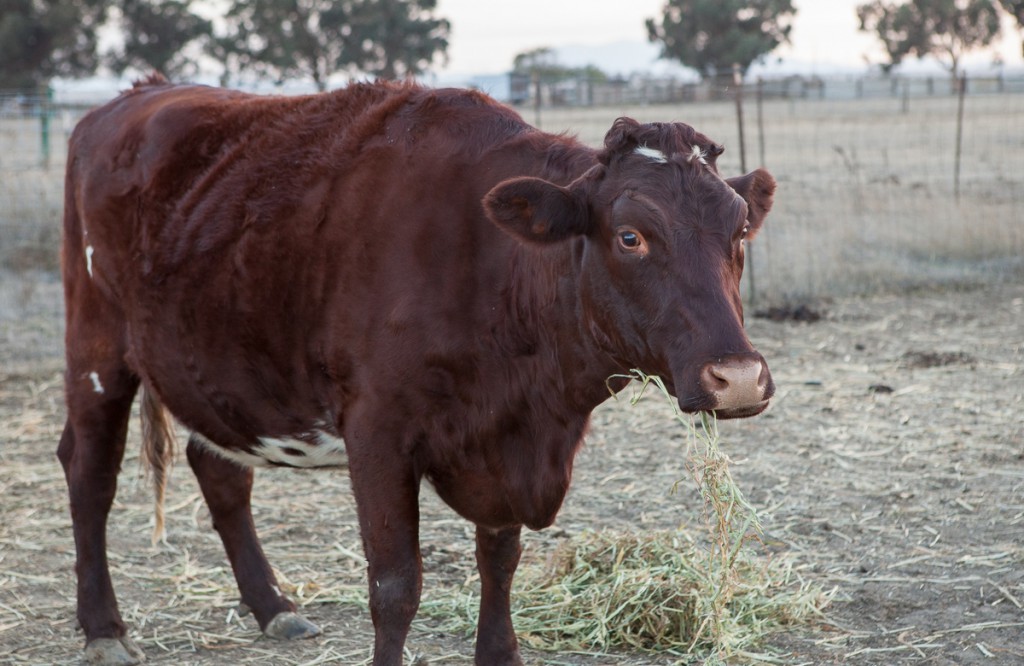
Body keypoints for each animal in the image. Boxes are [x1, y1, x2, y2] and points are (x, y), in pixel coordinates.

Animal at [58, 75, 774, 659]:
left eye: (740, 232)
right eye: (630, 236)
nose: (737, 377)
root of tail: (137, 94)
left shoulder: (504, 441)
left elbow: (499, 559)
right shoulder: (377, 432)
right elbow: (395, 586)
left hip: (216, 368)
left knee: (220, 471)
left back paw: (272, 606)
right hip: (96, 344)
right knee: (89, 469)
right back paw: (103, 629)